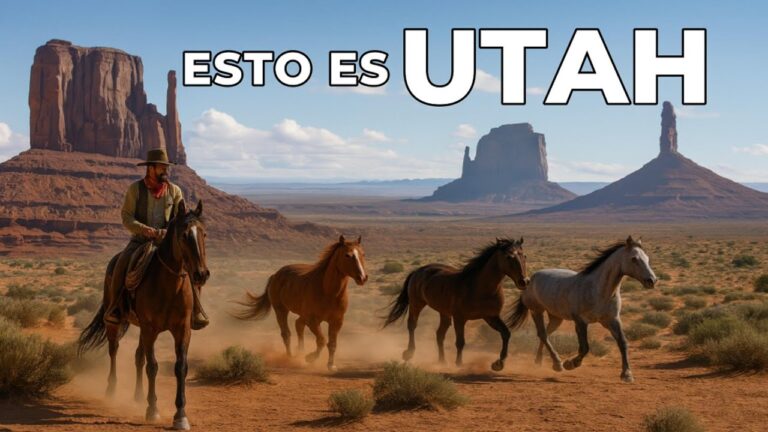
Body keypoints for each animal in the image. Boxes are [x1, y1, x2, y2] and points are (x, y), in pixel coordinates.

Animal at [77, 200, 209, 430]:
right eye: (184, 235)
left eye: (204, 234)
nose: (201, 274)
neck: (169, 287)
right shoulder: (150, 329)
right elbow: (153, 366)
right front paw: (152, 409)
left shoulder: (182, 330)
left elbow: (180, 367)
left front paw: (180, 415)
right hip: (116, 323)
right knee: (114, 350)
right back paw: (111, 390)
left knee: (138, 357)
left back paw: (138, 396)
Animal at [234, 235, 368, 371]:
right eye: (347, 255)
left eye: (363, 254)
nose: (362, 278)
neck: (328, 291)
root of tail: (275, 275)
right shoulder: (313, 320)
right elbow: (321, 340)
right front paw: (309, 358)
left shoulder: (337, 321)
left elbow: (332, 344)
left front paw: (331, 365)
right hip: (281, 310)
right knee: (286, 333)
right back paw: (291, 357)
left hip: (303, 315)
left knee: (298, 324)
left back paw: (300, 352)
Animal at [383, 238, 529, 371]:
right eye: (509, 257)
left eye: (524, 256)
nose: (524, 281)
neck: (480, 288)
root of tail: (418, 270)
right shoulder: (460, 318)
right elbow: (460, 342)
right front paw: (459, 363)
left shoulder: (491, 317)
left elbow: (506, 333)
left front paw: (499, 363)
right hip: (416, 304)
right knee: (412, 325)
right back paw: (409, 353)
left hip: (444, 313)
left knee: (439, 334)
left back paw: (442, 361)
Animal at [506, 236, 657, 383]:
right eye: (634, 259)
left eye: (647, 258)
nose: (652, 280)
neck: (598, 291)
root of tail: (530, 278)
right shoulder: (580, 321)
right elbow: (585, 347)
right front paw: (570, 364)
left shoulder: (613, 320)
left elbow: (623, 343)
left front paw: (627, 374)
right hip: (536, 311)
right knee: (543, 334)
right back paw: (558, 364)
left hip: (556, 317)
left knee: (546, 335)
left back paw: (539, 361)